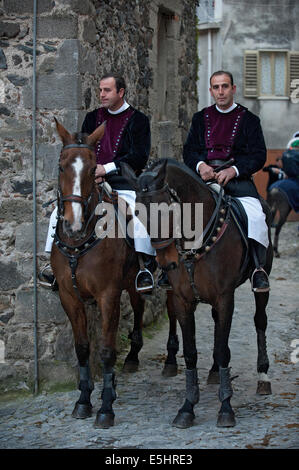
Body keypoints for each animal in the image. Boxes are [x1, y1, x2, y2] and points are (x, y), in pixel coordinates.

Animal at [51, 119, 178, 428]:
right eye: (61, 166)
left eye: (92, 167)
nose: (72, 224)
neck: (79, 242)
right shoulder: (69, 296)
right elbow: (83, 348)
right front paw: (84, 400)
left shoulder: (107, 295)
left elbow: (107, 350)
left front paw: (106, 406)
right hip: (132, 282)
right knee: (139, 305)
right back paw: (132, 356)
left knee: (173, 312)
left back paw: (170, 360)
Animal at [122, 159, 274, 430]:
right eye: (137, 213)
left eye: (168, 211)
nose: (167, 263)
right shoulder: (183, 301)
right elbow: (192, 353)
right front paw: (187, 407)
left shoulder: (225, 298)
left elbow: (223, 350)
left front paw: (226, 408)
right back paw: (214, 372)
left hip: (260, 285)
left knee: (260, 321)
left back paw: (263, 376)